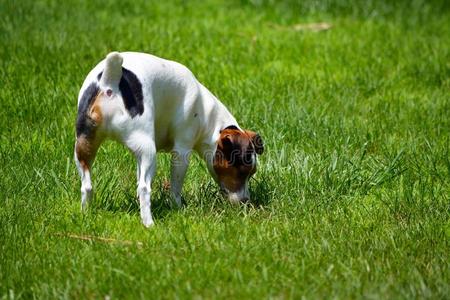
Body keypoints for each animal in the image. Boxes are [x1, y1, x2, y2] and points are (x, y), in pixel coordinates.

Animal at [74, 51, 264, 226]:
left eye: (251, 173)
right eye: (241, 172)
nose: (246, 202)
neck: (208, 117)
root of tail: (109, 83)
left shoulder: (139, 157)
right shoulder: (182, 150)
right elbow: (175, 186)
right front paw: (177, 208)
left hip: (83, 148)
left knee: (87, 186)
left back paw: (85, 216)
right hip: (148, 151)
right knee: (144, 187)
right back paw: (149, 224)